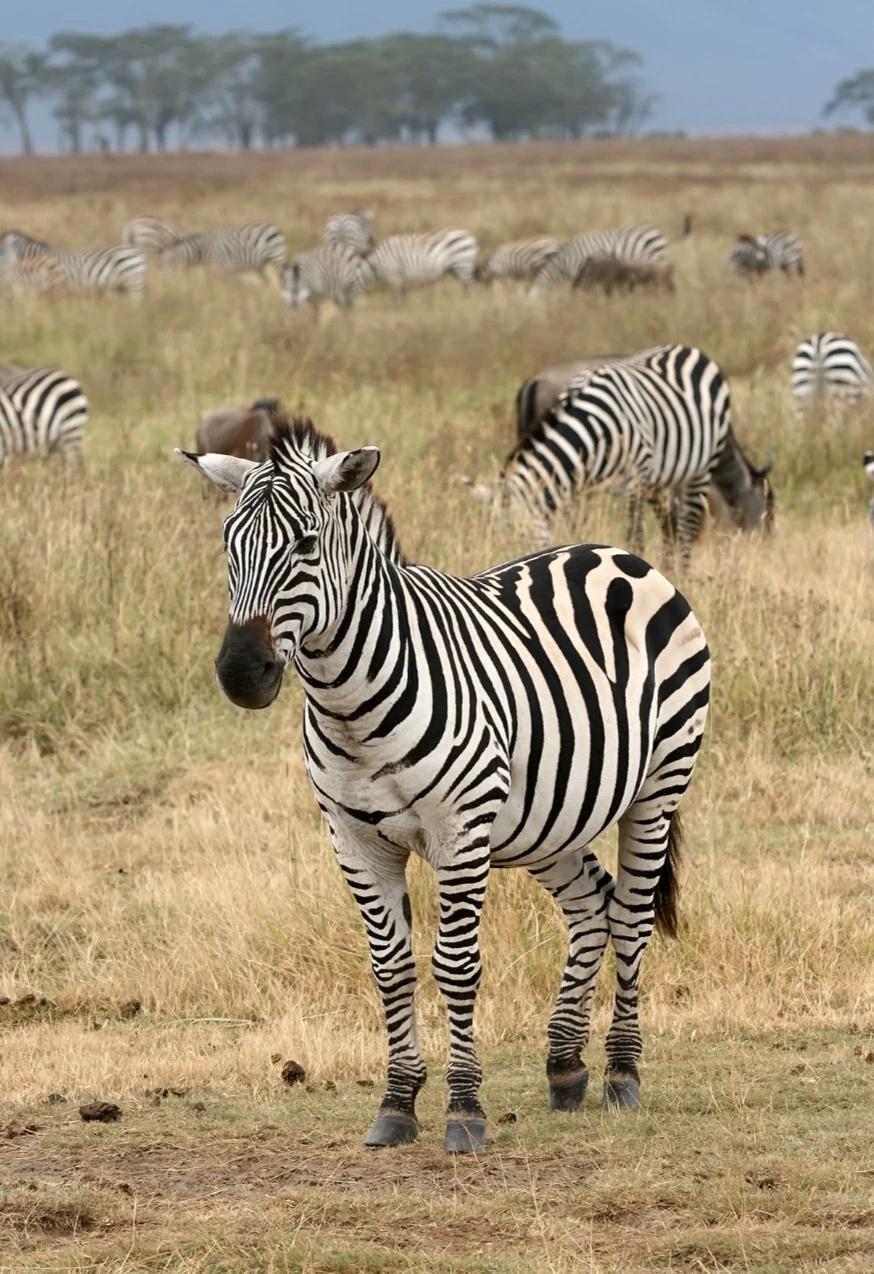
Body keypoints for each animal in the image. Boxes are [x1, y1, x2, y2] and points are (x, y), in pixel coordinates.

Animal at [157, 223, 287, 278]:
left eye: (166, 266)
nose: (165, 282)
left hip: (277, 257)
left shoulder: (225, 267)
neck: (204, 250)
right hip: (260, 265)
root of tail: (273, 226)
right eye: (161, 267)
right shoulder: (214, 270)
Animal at [179, 415, 711, 1154]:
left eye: (307, 544)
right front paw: (398, 1102)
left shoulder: (459, 830)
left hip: (659, 783)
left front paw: (463, 1109)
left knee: (630, 915)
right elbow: (391, 967)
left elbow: (456, 966)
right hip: (546, 817)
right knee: (591, 904)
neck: (351, 705)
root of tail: (617, 554)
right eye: (230, 546)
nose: (240, 674)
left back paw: (622, 1073)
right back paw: (565, 1064)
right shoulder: (354, 840)